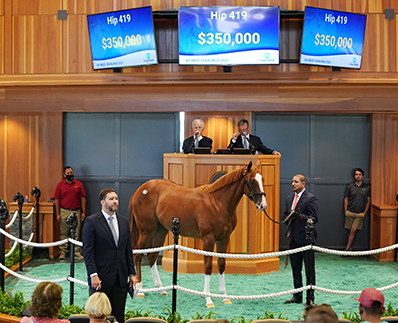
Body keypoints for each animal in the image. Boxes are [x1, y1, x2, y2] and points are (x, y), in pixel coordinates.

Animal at [130, 161, 268, 308]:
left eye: (262, 179)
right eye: (252, 180)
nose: (263, 205)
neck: (217, 204)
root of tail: (140, 189)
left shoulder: (223, 239)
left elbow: (221, 265)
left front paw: (225, 298)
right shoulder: (208, 239)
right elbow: (208, 267)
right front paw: (208, 299)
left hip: (160, 230)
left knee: (152, 255)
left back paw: (161, 289)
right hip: (146, 230)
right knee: (138, 254)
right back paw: (140, 291)